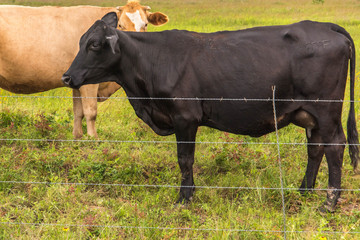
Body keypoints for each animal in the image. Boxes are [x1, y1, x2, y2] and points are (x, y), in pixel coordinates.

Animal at [0, 0, 168, 138]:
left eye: (145, 24)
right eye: (121, 25)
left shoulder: (74, 80)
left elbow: (78, 112)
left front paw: (78, 138)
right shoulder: (89, 82)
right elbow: (90, 111)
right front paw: (94, 140)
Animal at [63, 12, 358, 212]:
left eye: (94, 44)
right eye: (79, 42)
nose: (66, 77)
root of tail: (323, 25)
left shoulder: (185, 117)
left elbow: (185, 159)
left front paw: (184, 198)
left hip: (327, 111)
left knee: (335, 147)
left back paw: (329, 203)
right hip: (309, 114)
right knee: (315, 148)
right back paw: (304, 191)